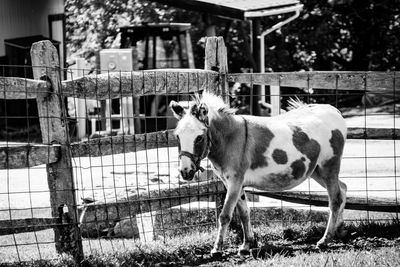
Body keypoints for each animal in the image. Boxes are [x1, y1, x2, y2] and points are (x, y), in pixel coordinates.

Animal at [169, 93, 346, 256]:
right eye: (177, 136)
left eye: (199, 138)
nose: (185, 172)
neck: (230, 139)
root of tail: (334, 110)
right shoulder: (233, 183)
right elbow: (244, 213)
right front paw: (247, 245)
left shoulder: (234, 181)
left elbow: (225, 215)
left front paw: (217, 249)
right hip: (316, 170)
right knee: (343, 189)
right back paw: (339, 230)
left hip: (329, 166)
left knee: (335, 199)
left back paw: (325, 240)